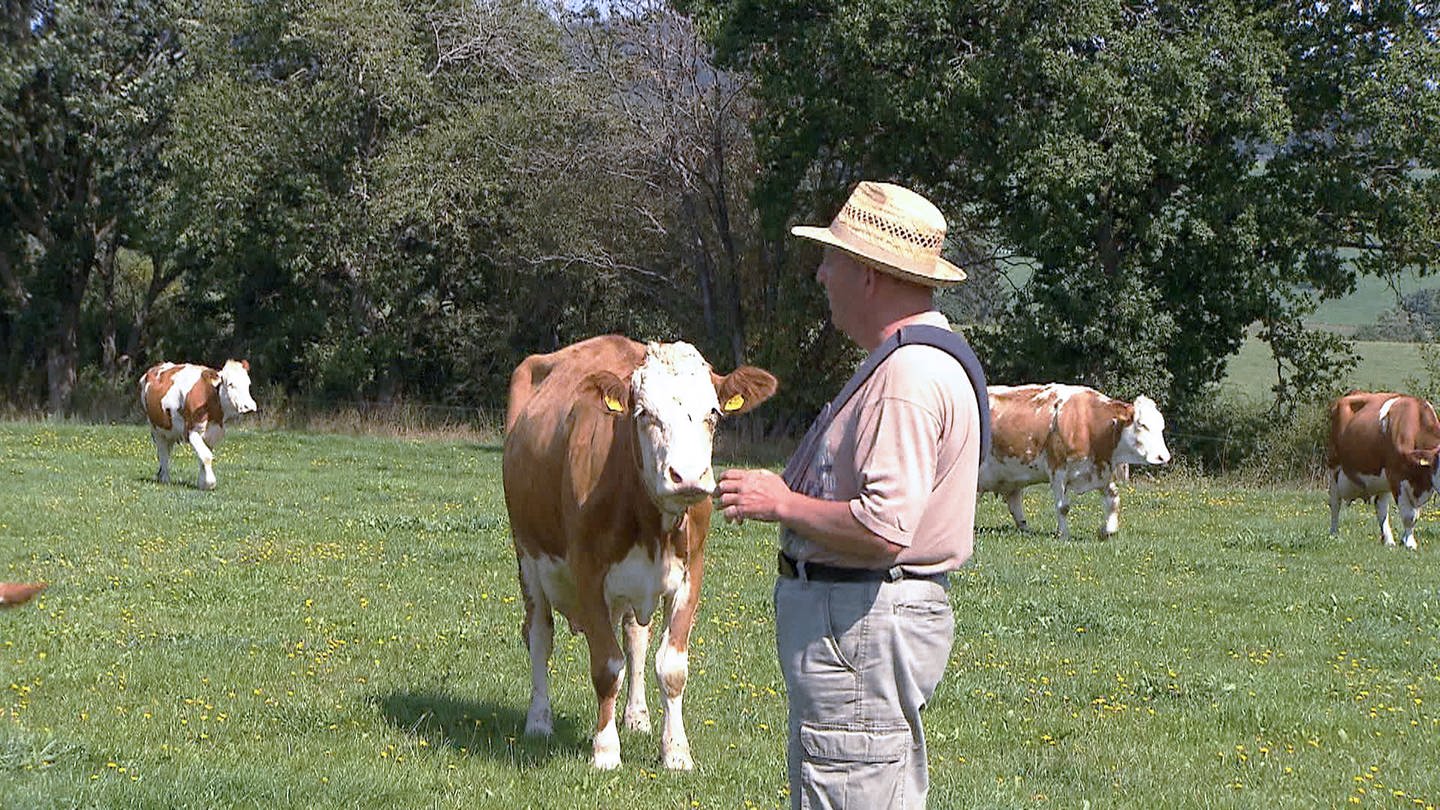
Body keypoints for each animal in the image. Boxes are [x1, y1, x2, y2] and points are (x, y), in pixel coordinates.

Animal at [138, 360, 257, 490]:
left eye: (248, 384)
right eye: (230, 384)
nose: (249, 407)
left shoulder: (214, 433)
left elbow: (203, 456)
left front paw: (202, 482)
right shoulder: (191, 431)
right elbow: (206, 456)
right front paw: (210, 483)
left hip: (169, 431)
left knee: (167, 450)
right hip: (155, 429)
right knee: (163, 452)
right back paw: (165, 478)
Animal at [504, 335, 777, 766]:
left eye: (713, 412)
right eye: (644, 413)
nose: (688, 476)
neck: (653, 526)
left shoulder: (691, 574)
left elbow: (670, 667)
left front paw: (676, 752)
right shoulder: (587, 572)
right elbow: (605, 666)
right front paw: (605, 751)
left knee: (634, 638)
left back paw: (636, 717)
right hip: (527, 558)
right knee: (539, 634)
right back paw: (539, 721)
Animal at [979, 383, 1169, 539]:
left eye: (1161, 427)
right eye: (1142, 425)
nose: (1164, 457)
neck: (1090, 425)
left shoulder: (1099, 471)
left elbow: (1114, 499)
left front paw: (1108, 530)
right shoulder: (1057, 469)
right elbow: (1063, 507)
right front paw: (1064, 535)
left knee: (1014, 504)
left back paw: (1025, 530)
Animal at [1324, 386, 1440, 547]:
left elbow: (1415, 514)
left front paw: (1405, 539)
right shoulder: (1396, 477)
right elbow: (1409, 515)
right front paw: (1410, 544)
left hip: (1381, 481)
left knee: (1381, 507)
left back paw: (1389, 541)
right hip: (1333, 467)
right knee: (1335, 503)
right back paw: (1333, 535)